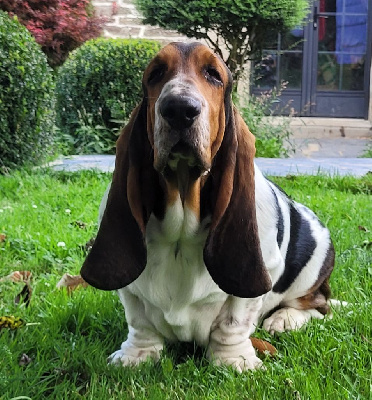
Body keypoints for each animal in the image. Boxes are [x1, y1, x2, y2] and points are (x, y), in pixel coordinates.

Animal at [80, 41, 334, 372]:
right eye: (155, 73)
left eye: (214, 74)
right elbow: (139, 320)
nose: (179, 109)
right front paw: (135, 355)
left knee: (318, 304)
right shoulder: (132, 294)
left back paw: (284, 319)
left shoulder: (259, 275)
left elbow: (234, 320)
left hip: (312, 267)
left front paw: (234, 360)